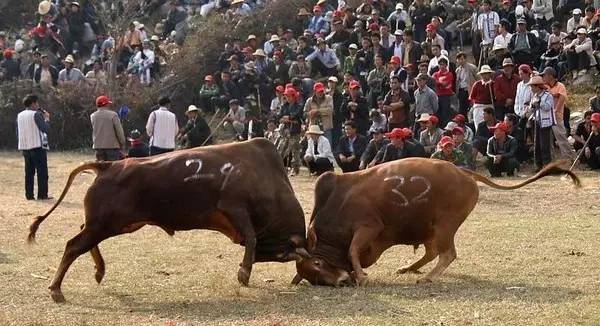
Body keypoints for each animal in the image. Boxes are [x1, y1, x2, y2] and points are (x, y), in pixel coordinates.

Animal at [27, 138, 310, 304]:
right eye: (285, 255)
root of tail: (108, 165)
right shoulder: (234, 208)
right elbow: (251, 238)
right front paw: (244, 273)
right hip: (106, 224)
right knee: (74, 245)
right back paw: (57, 289)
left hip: (115, 225)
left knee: (83, 239)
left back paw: (99, 271)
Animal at [292, 159, 580, 286]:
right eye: (314, 275)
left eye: (318, 263)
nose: (341, 282)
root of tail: (463, 172)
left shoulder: (368, 227)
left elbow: (353, 250)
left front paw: (360, 276)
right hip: (432, 228)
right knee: (433, 252)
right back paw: (409, 268)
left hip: (445, 225)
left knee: (447, 253)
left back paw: (428, 277)